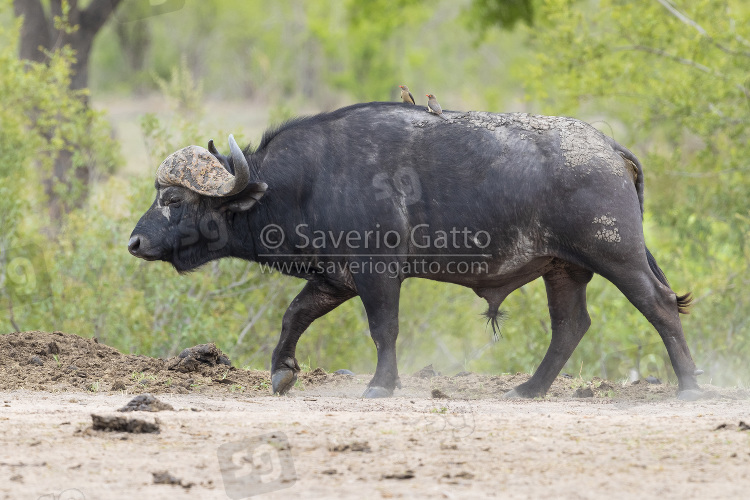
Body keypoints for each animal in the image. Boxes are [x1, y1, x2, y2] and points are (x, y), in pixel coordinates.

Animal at [131, 103, 704, 400]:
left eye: (173, 199)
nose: (135, 242)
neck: (310, 179)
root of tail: (609, 149)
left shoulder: (378, 273)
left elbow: (383, 328)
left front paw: (381, 385)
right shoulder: (336, 277)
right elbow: (295, 314)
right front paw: (282, 371)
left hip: (616, 255)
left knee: (658, 305)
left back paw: (690, 386)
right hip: (562, 269)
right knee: (570, 326)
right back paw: (529, 389)